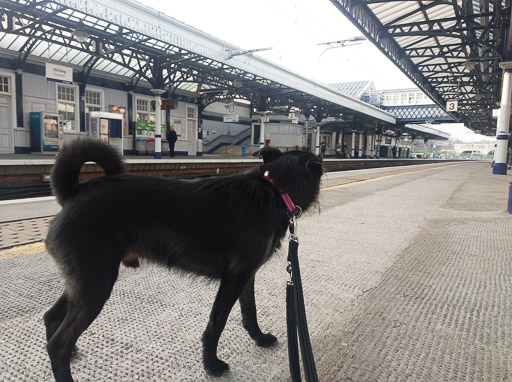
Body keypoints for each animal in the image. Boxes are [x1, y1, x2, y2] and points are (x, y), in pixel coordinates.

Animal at [45, 139, 324, 380]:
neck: (274, 190)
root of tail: (74, 192)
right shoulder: (234, 278)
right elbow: (217, 322)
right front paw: (211, 364)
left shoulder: (246, 276)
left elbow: (249, 313)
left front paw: (260, 339)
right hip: (96, 284)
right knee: (58, 344)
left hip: (84, 282)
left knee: (51, 318)